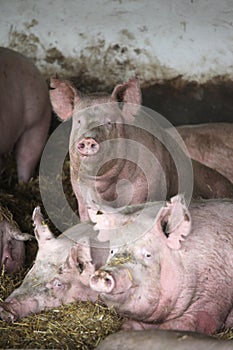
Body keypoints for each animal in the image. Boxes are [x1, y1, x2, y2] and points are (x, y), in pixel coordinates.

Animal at [49, 79, 233, 221]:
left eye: (109, 122)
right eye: (79, 121)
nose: (88, 139)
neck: (106, 186)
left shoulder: (147, 187)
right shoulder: (80, 192)